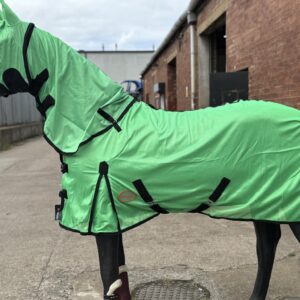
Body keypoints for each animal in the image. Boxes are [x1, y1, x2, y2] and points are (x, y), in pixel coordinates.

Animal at [1, 1, 298, 298]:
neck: (99, 124)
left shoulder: (102, 216)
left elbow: (108, 278)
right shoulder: (113, 217)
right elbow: (119, 277)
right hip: (263, 200)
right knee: (267, 245)